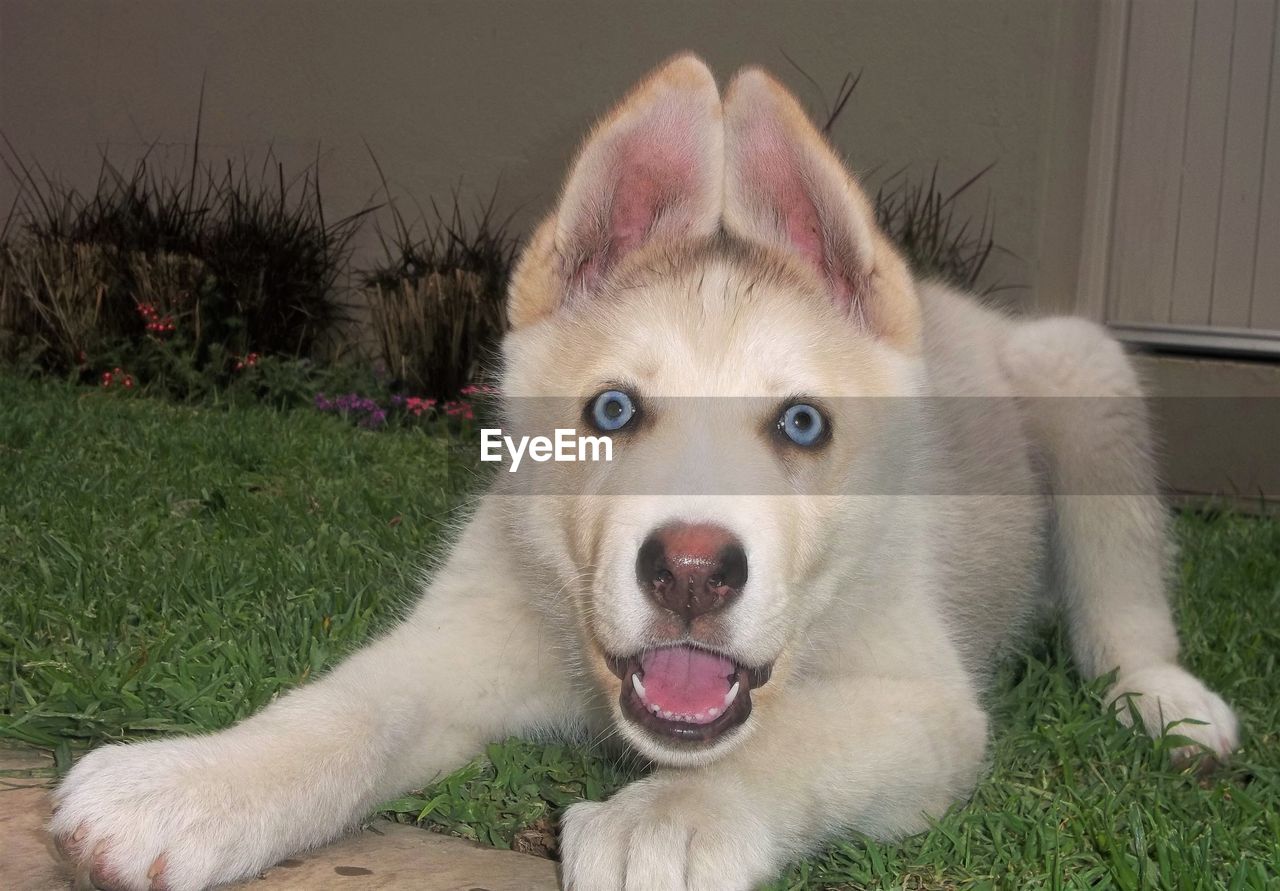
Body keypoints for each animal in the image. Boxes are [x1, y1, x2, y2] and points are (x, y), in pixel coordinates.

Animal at [52, 57, 1239, 891]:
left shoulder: (925, 703)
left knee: (1121, 604)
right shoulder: (458, 639)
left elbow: (783, 743)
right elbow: (339, 708)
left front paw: (668, 820)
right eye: (612, 412)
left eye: (802, 422)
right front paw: (191, 785)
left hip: (1081, 373)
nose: (692, 571)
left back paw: (1167, 702)